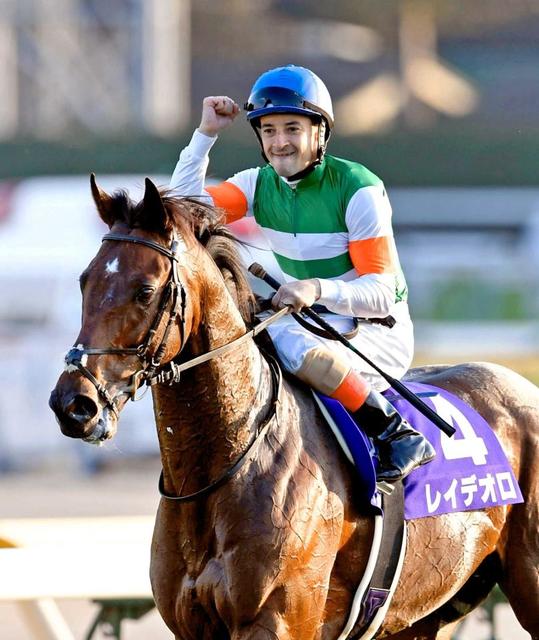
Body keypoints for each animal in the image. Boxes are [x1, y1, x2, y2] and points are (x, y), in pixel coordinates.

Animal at [49, 176, 539, 640]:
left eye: (145, 290)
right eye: (84, 281)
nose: (73, 404)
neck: (228, 464)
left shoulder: (277, 620)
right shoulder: (190, 625)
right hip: (425, 615)